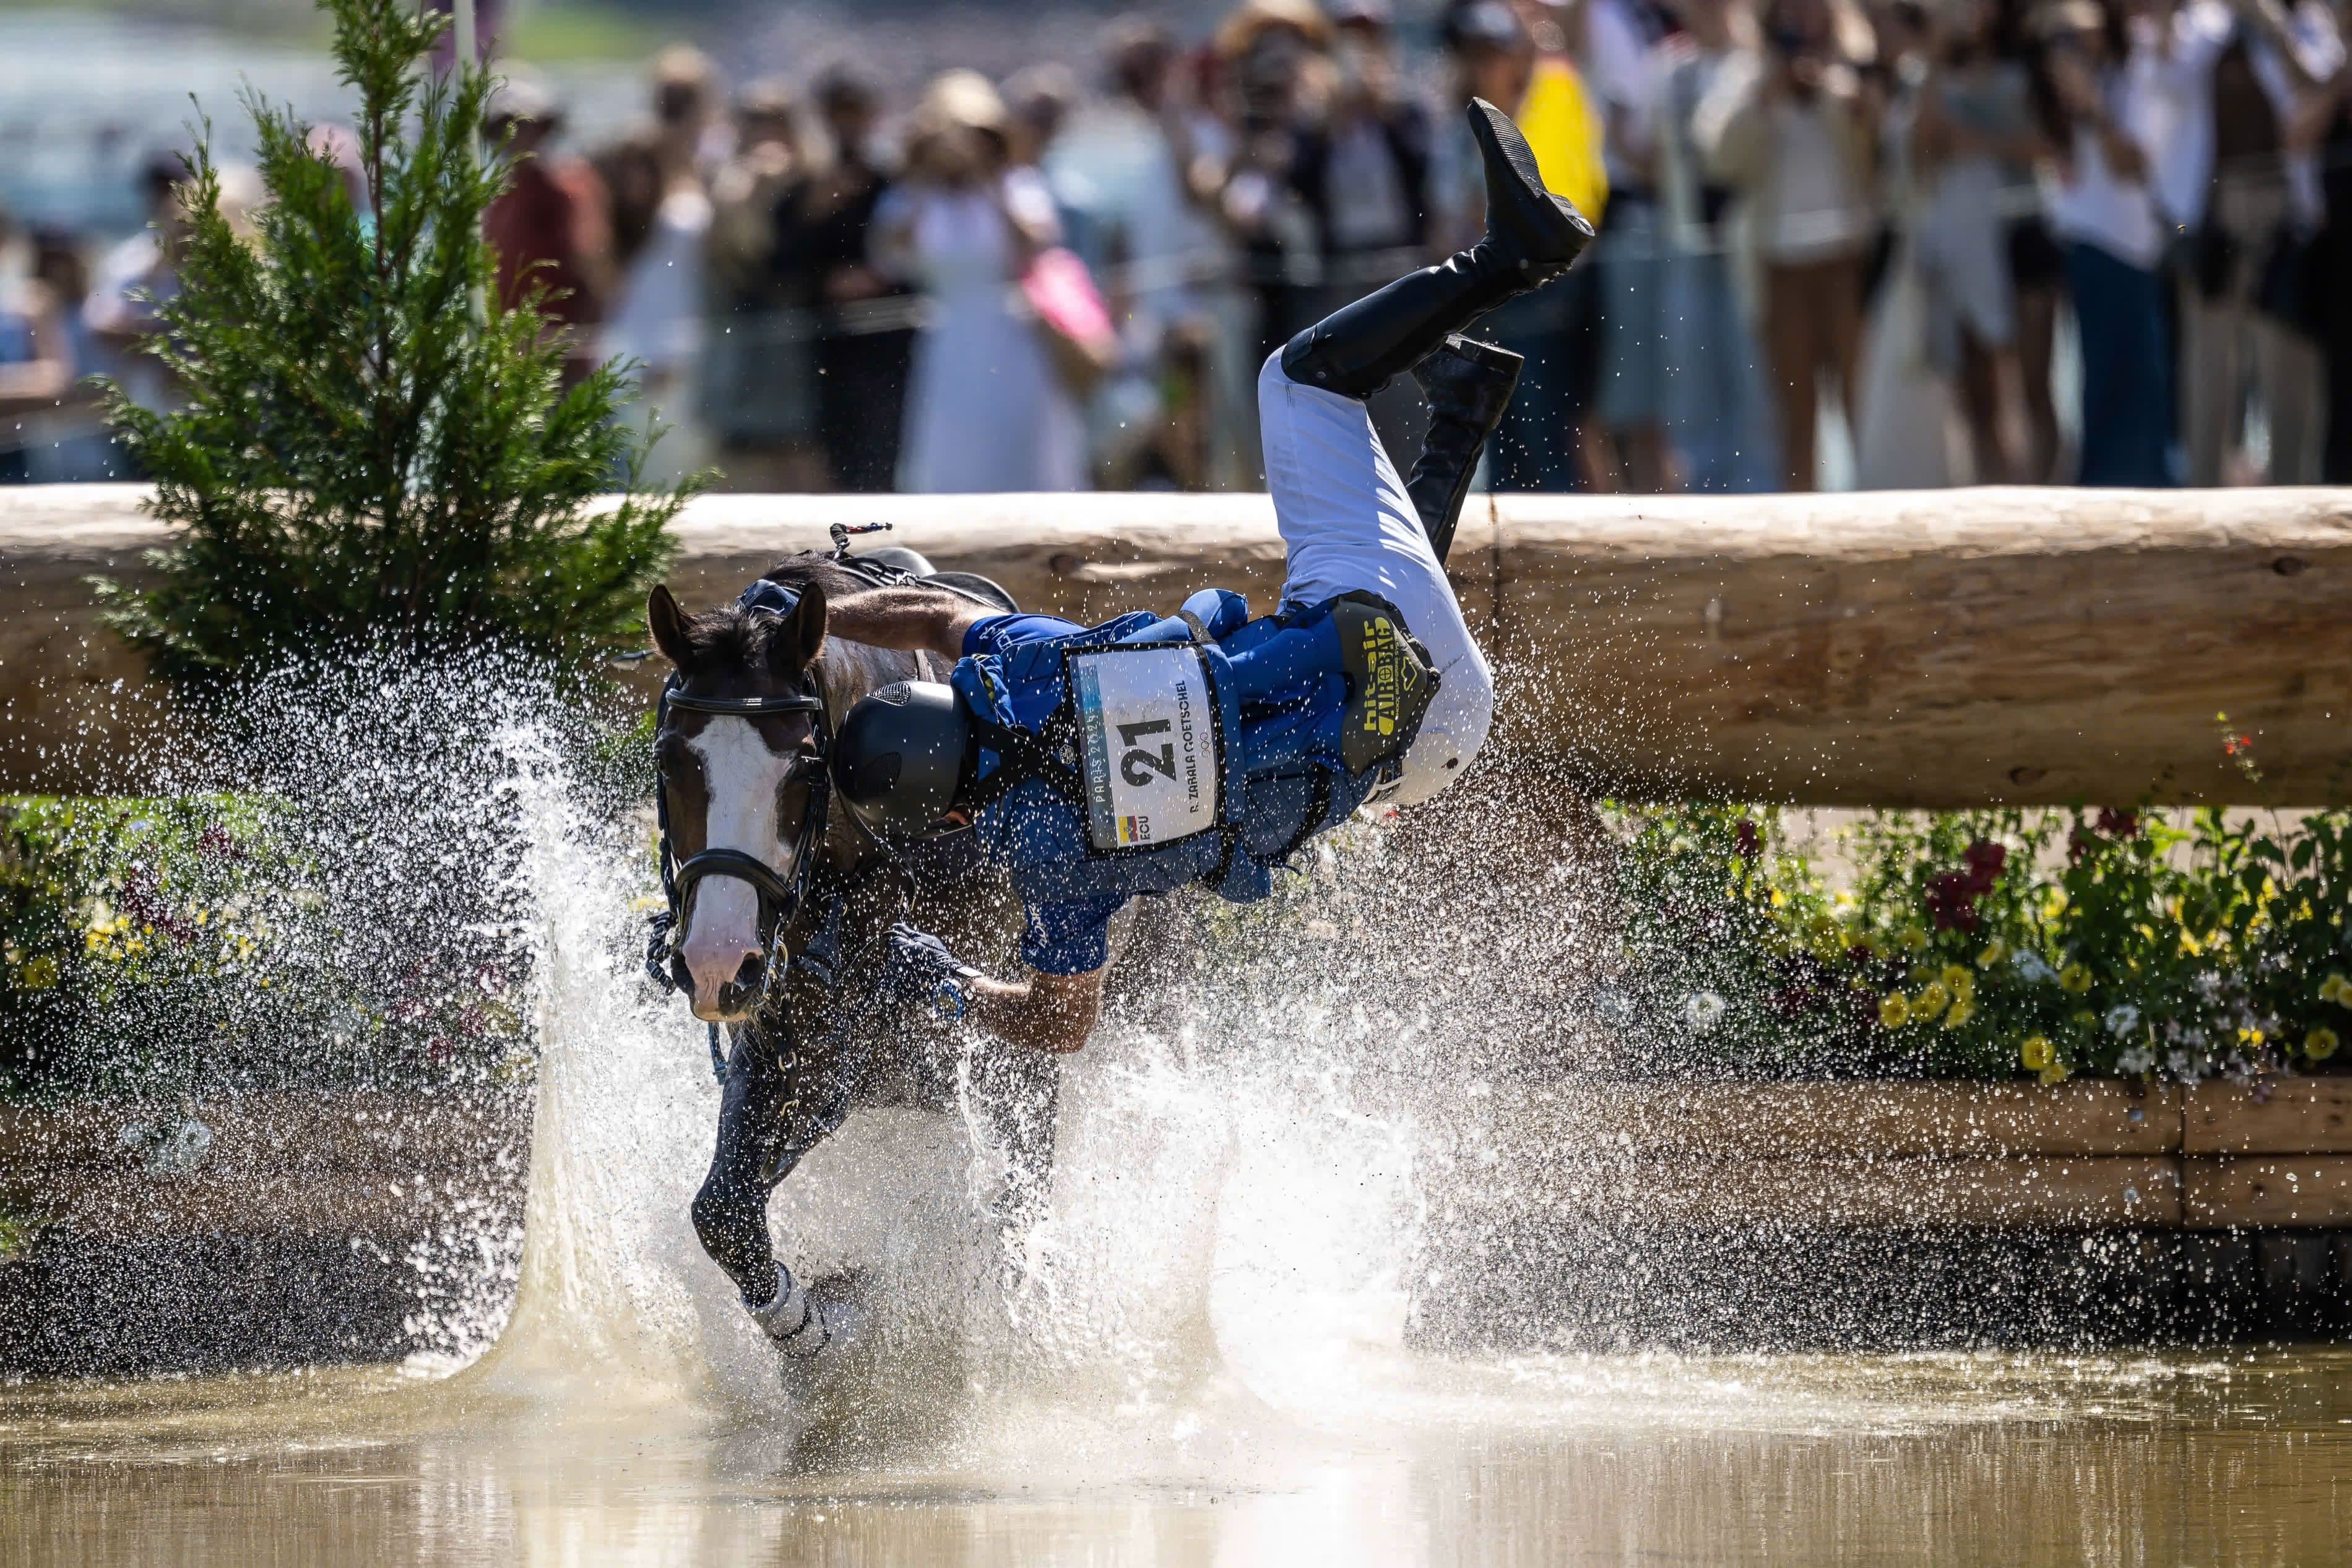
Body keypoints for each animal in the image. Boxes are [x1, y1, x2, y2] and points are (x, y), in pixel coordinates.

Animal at [644, 552, 1082, 1325]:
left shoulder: (959, 1056)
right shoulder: (789, 1050)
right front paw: (807, 1329)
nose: (716, 960)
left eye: (804, 768)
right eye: (671, 760)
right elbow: (724, 1209)